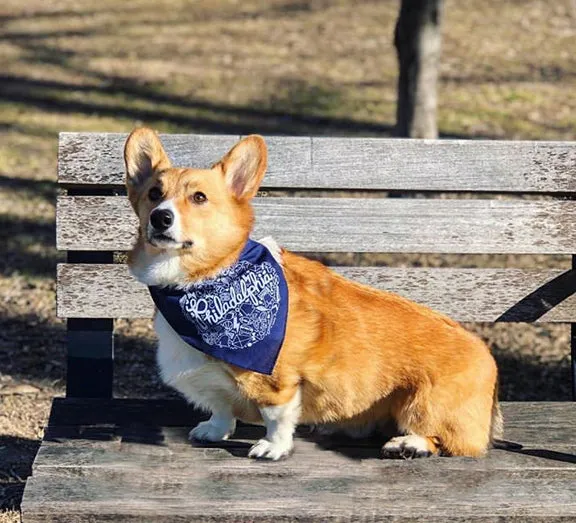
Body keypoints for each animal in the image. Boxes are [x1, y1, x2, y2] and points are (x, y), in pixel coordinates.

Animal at [124, 128, 502, 462]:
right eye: (154, 193)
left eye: (199, 197)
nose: (160, 218)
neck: (203, 283)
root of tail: (488, 358)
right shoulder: (214, 384)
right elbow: (221, 407)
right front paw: (215, 430)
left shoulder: (276, 380)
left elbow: (276, 417)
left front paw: (273, 448)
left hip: (421, 405)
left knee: (450, 442)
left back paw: (410, 444)